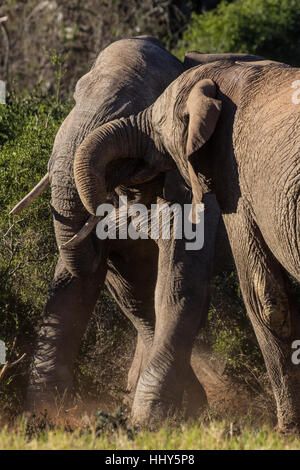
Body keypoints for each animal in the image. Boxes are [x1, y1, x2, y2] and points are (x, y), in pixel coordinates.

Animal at [91, 53, 298, 432]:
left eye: (159, 125)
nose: (121, 198)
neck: (227, 71)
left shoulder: (235, 175)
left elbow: (266, 298)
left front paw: (287, 430)